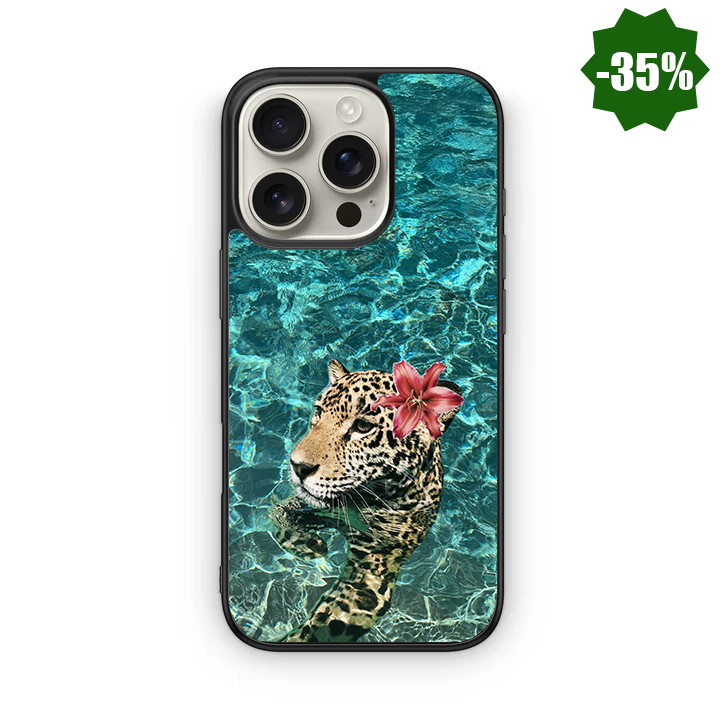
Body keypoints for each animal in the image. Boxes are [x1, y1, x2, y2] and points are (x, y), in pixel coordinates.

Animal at [269, 359, 462, 643]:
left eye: (362, 427)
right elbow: (278, 512)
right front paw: (311, 545)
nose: (298, 466)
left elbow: (319, 628)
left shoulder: (373, 570)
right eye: (318, 412)